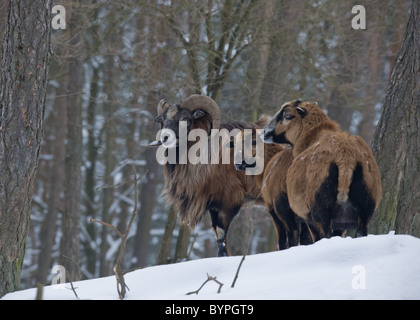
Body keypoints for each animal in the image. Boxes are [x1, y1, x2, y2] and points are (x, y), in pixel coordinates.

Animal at [264, 100, 382, 240]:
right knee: (360, 233)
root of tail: (345, 157)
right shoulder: (341, 224)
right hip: (366, 208)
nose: (265, 132)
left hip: (319, 210)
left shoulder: (307, 217)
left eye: (287, 115)